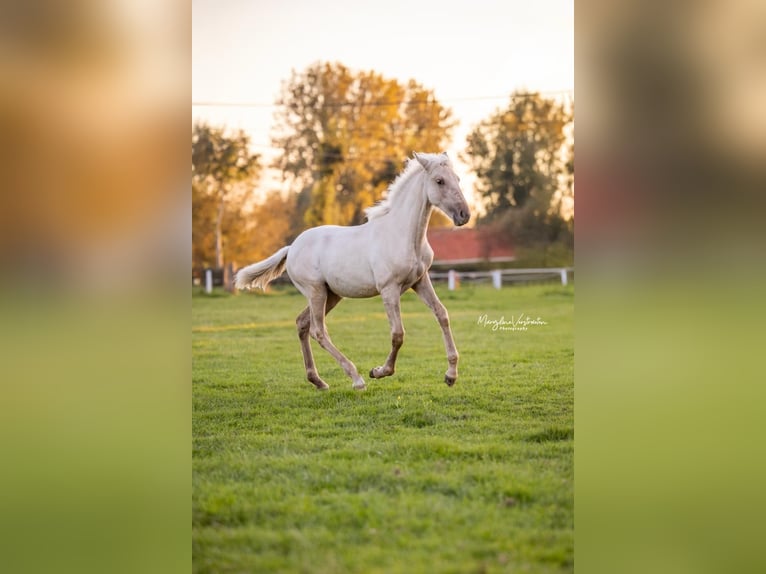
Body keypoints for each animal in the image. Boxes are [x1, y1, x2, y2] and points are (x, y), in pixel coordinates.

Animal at [237, 152, 472, 392]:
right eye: (439, 181)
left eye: (457, 179)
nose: (464, 215)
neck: (402, 235)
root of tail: (291, 247)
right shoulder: (389, 289)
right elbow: (398, 334)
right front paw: (379, 372)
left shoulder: (420, 281)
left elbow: (442, 315)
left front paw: (451, 375)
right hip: (316, 292)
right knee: (318, 331)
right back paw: (356, 379)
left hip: (331, 294)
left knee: (302, 323)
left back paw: (318, 381)